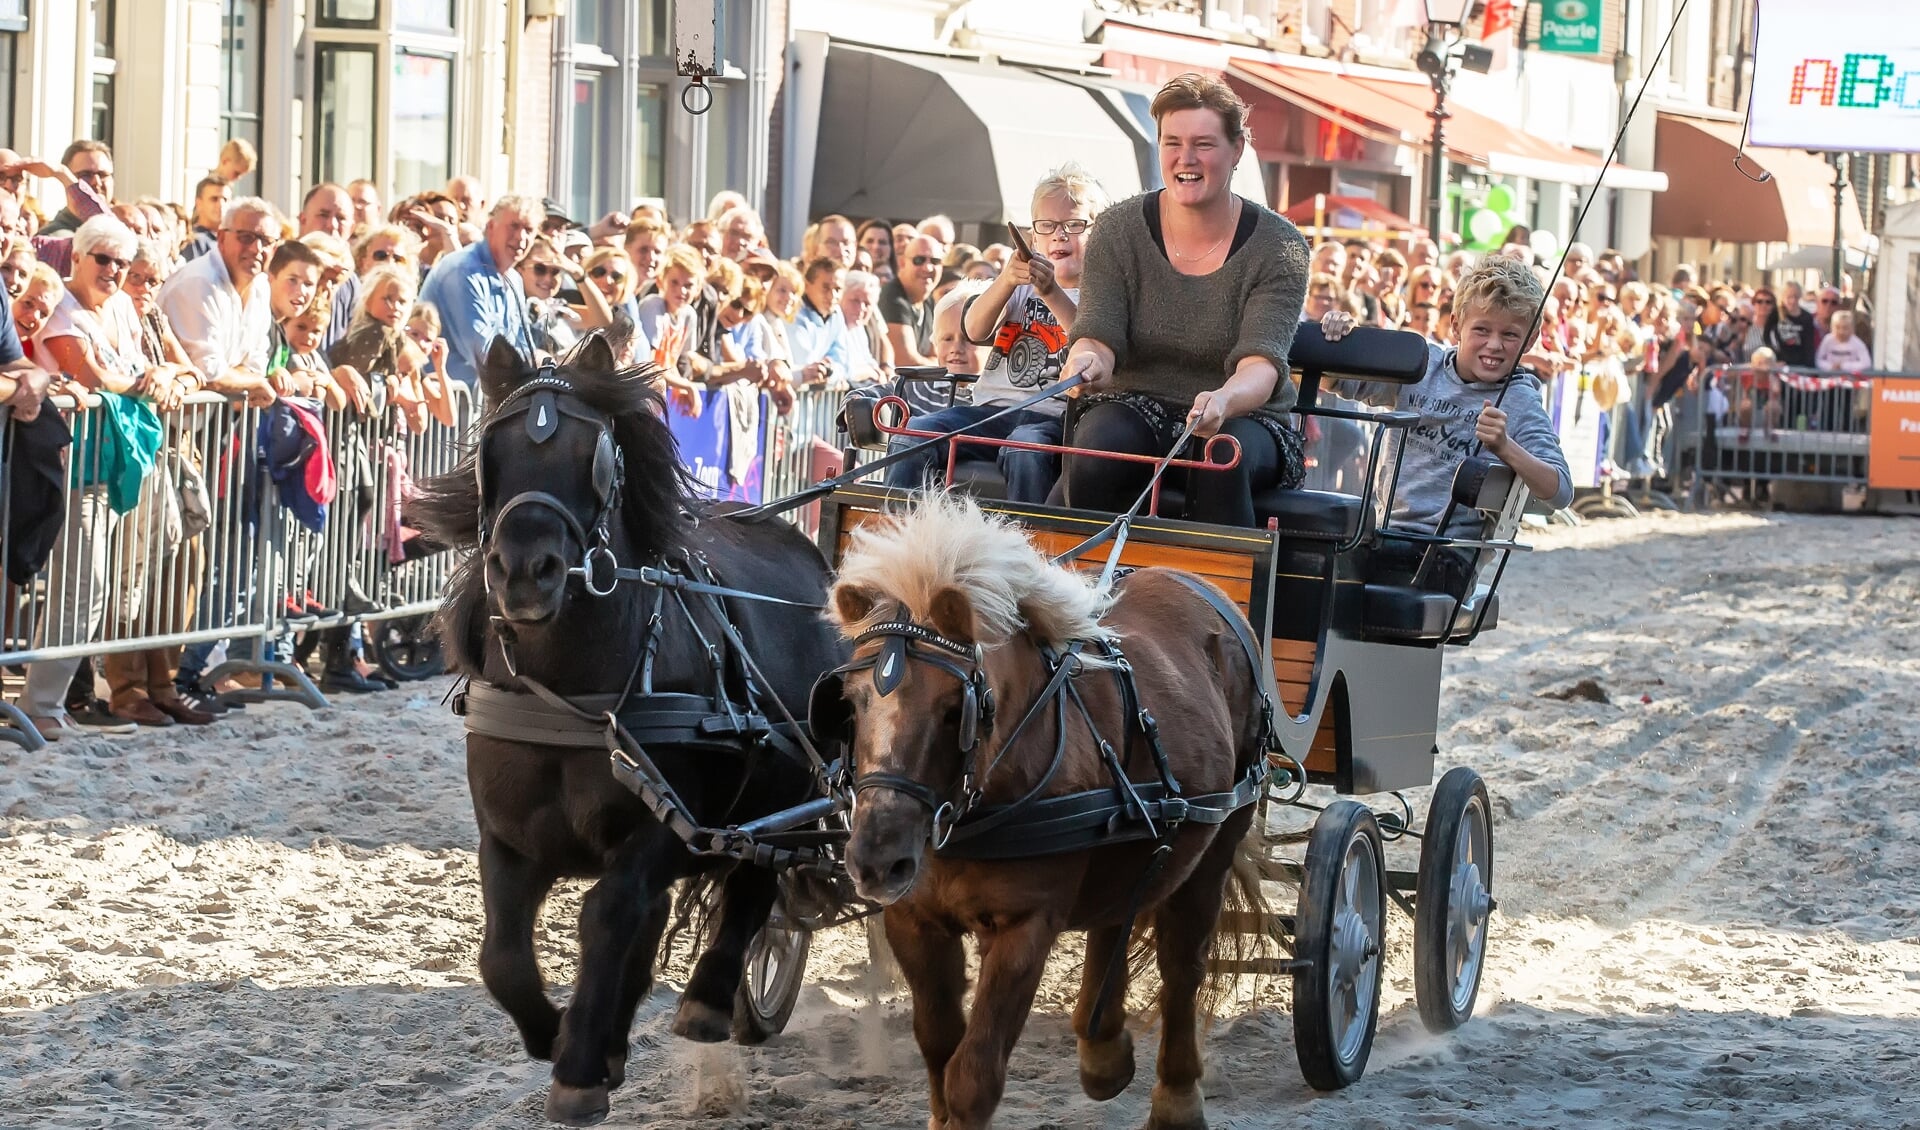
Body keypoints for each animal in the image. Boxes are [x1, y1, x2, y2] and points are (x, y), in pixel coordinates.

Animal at [416, 335, 844, 1120]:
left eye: (595, 454)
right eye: (493, 451)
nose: (524, 571)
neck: (572, 698)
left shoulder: (660, 830)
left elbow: (606, 916)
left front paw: (579, 1066)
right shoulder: (507, 836)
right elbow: (502, 956)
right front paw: (558, 1037)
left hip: (793, 793)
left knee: (754, 885)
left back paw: (707, 1003)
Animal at [817, 498, 1267, 1128]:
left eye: (955, 708)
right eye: (851, 703)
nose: (877, 862)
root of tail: (1200, 585)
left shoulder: (1025, 925)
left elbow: (972, 1076)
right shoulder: (914, 919)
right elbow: (938, 1045)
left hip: (1218, 840)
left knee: (1183, 964)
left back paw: (1177, 1098)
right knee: (1119, 909)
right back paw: (1102, 1048)